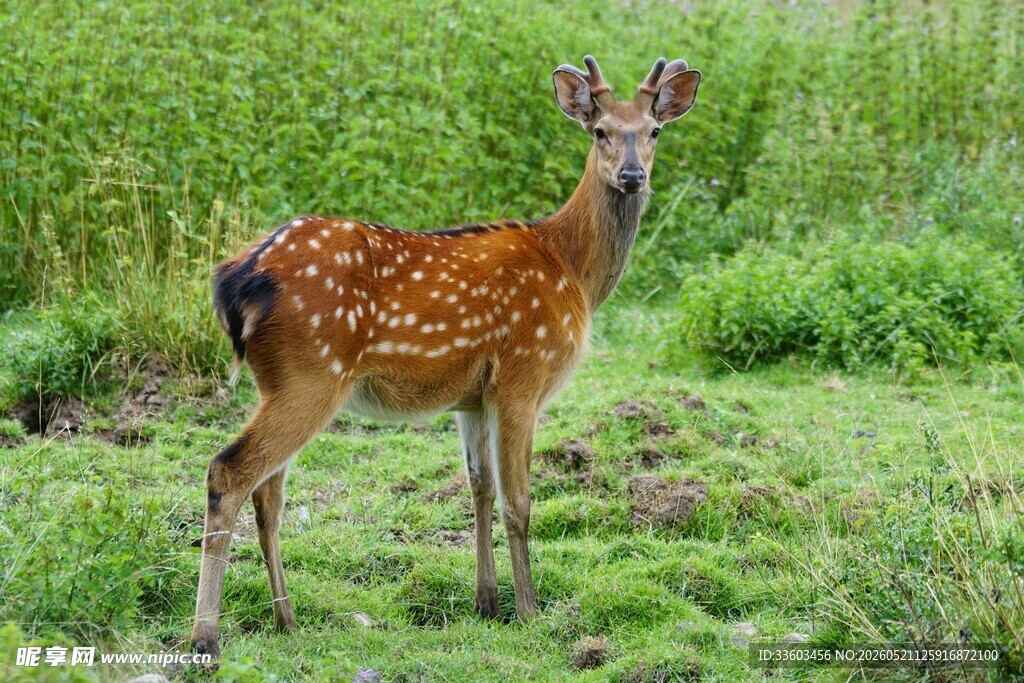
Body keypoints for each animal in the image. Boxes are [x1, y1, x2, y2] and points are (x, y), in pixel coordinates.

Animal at [190, 55, 700, 657]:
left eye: (654, 130)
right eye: (599, 130)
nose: (632, 175)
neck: (571, 268)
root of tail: (235, 278)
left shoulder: (472, 398)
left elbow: (479, 488)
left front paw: (488, 603)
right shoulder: (523, 374)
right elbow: (519, 501)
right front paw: (530, 612)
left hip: (277, 380)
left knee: (268, 491)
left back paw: (286, 619)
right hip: (311, 372)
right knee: (230, 471)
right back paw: (206, 637)